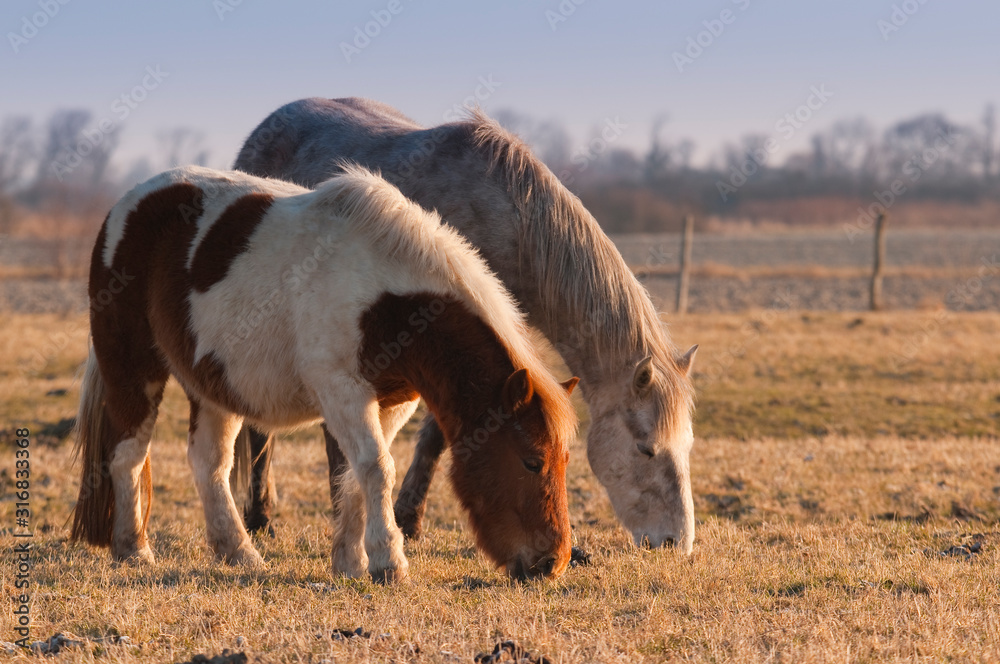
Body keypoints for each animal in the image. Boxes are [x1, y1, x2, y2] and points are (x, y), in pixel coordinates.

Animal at [70, 164, 578, 582]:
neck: (389, 300)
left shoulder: (391, 403)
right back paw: (133, 549)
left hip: (214, 385)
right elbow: (377, 469)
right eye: (532, 460)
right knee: (127, 455)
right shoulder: (343, 393)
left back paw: (238, 552)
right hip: (134, 369)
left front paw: (350, 562)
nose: (551, 563)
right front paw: (388, 561)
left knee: (208, 462)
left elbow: (355, 476)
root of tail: (123, 207)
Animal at [234, 98, 698, 552]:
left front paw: (409, 519)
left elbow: (435, 435)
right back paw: (260, 518)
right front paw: (404, 520)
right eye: (646, 449)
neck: (509, 221)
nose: (675, 541)